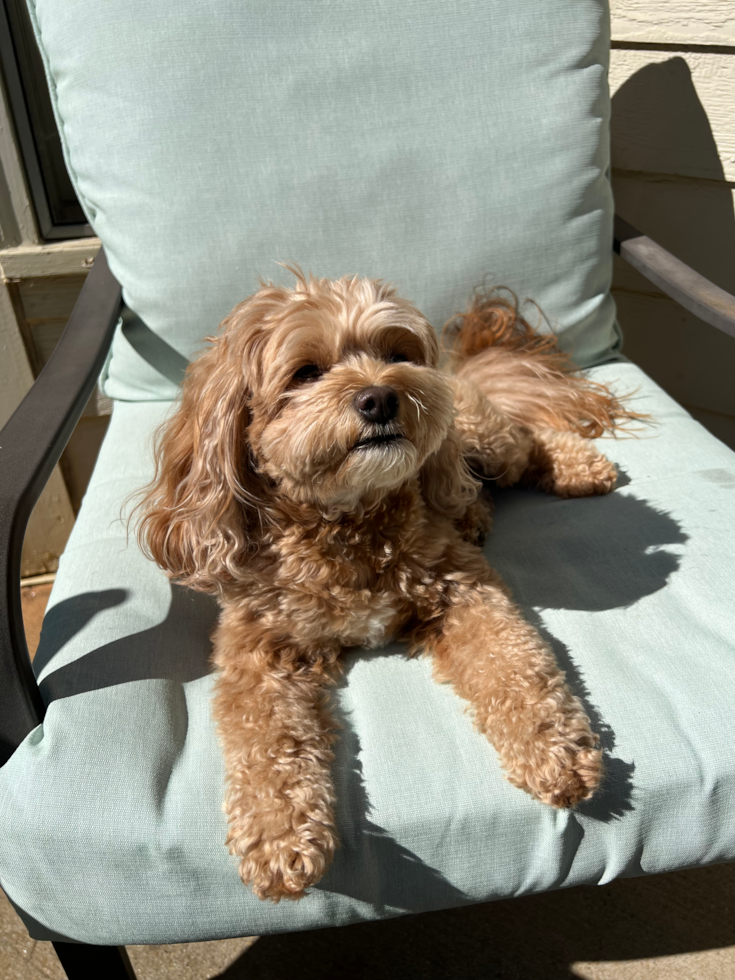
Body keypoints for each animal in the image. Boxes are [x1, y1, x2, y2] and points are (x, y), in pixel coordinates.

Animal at [138, 268, 632, 904]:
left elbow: (514, 665)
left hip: (480, 435)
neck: (349, 520)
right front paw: (278, 837)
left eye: (396, 353)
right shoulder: (259, 648)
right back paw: (477, 512)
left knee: (524, 439)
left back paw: (580, 467)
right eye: (305, 372)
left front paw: (555, 750)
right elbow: (265, 740)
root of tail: (456, 371)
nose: (380, 396)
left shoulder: (464, 588)